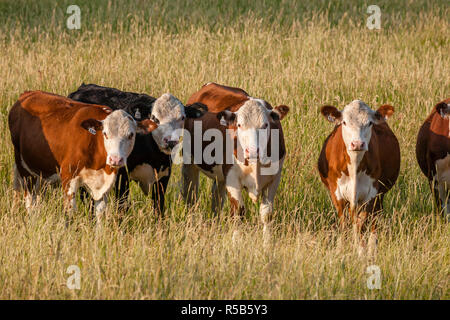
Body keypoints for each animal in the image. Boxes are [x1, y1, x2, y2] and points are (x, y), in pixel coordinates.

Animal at [7, 89, 159, 220]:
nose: (115, 159)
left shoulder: (104, 184)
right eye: (105, 134)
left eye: (131, 135)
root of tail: (28, 93)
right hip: (25, 169)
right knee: (30, 201)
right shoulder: (68, 178)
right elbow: (69, 214)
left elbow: (100, 214)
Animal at [67, 84, 208, 216]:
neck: (154, 157)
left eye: (182, 117)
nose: (170, 141)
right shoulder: (122, 176)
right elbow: (122, 207)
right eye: (155, 118)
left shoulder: (163, 176)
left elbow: (159, 208)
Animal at [318, 100, 400, 258]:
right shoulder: (337, 193)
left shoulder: (371, 193)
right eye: (344, 122)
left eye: (369, 123)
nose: (357, 144)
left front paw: (361, 252)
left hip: (380, 195)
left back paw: (372, 248)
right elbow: (344, 222)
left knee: (374, 220)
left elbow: (361, 224)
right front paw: (341, 249)